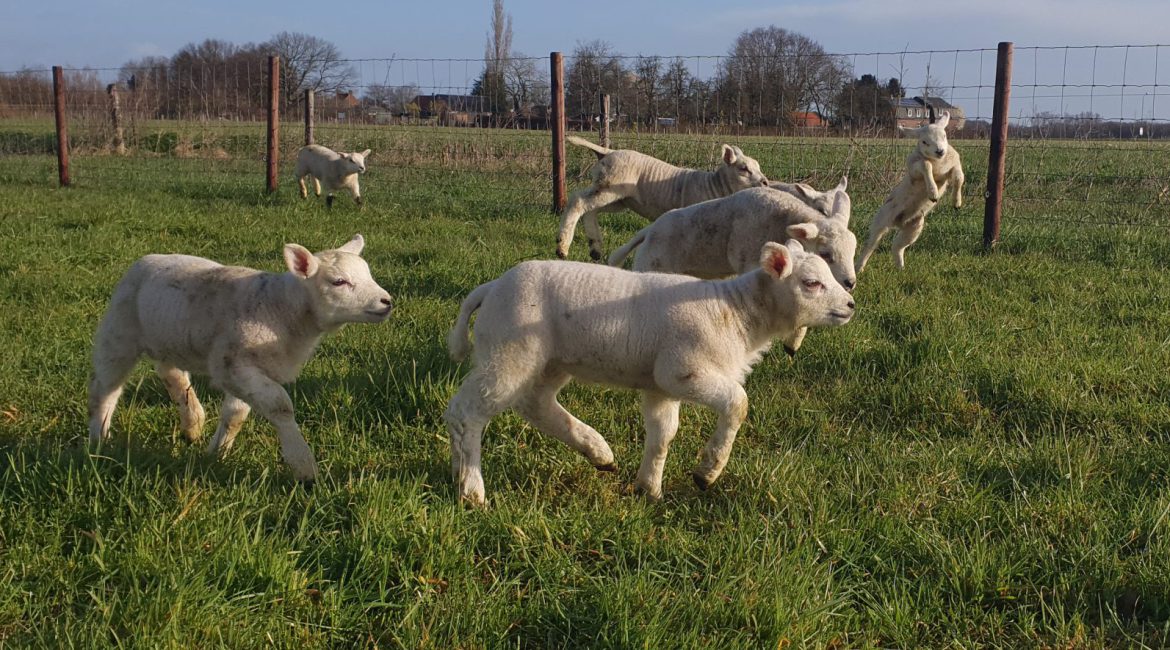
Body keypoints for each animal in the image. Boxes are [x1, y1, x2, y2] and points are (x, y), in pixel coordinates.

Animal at [86, 233, 395, 481]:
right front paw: (303, 465)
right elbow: (280, 406)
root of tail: (147, 259)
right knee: (106, 388)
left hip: (169, 334)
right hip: (119, 334)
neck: (281, 308)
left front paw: (216, 453)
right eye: (339, 282)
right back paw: (99, 438)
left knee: (169, 371)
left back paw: (192, 422)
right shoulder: (233, 365)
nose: (387, 301)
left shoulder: (247, 368)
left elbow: (236, 414)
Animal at [442, 240, 856, 505]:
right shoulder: (682, 370)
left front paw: (649, 489)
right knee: (467, 413)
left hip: (550, 359)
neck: (736, 314)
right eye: (811, 283)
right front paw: (707, 471)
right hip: (510, 350)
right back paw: (471, 490)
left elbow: (662, 435)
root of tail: (490, 288)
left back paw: (598, 451)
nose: (852, 305)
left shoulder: (660, 385)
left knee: (535, 403)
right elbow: (737, 403)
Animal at [554, 136, 767, 261]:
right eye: (744, 169)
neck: (714, 187)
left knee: (589, 209)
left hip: (618, 198)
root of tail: (607, 152)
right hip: (610, 188)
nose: (765, 182)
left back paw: (595, 248)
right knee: (578, 201)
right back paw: (563, 246)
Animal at [856, 112, 964, 270]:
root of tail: (898, 223)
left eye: (944, 136)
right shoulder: (914, 169)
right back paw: (859, 267)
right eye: (924, 142)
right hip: (881, 219)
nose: (940, 151)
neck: (938, 163)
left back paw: (900, 268)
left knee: (897, 246)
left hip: (914, 227)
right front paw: (933, 192)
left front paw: (957, 202)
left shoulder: (952, 166)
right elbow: (926, 165)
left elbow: (959, 177)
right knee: (870, 245)